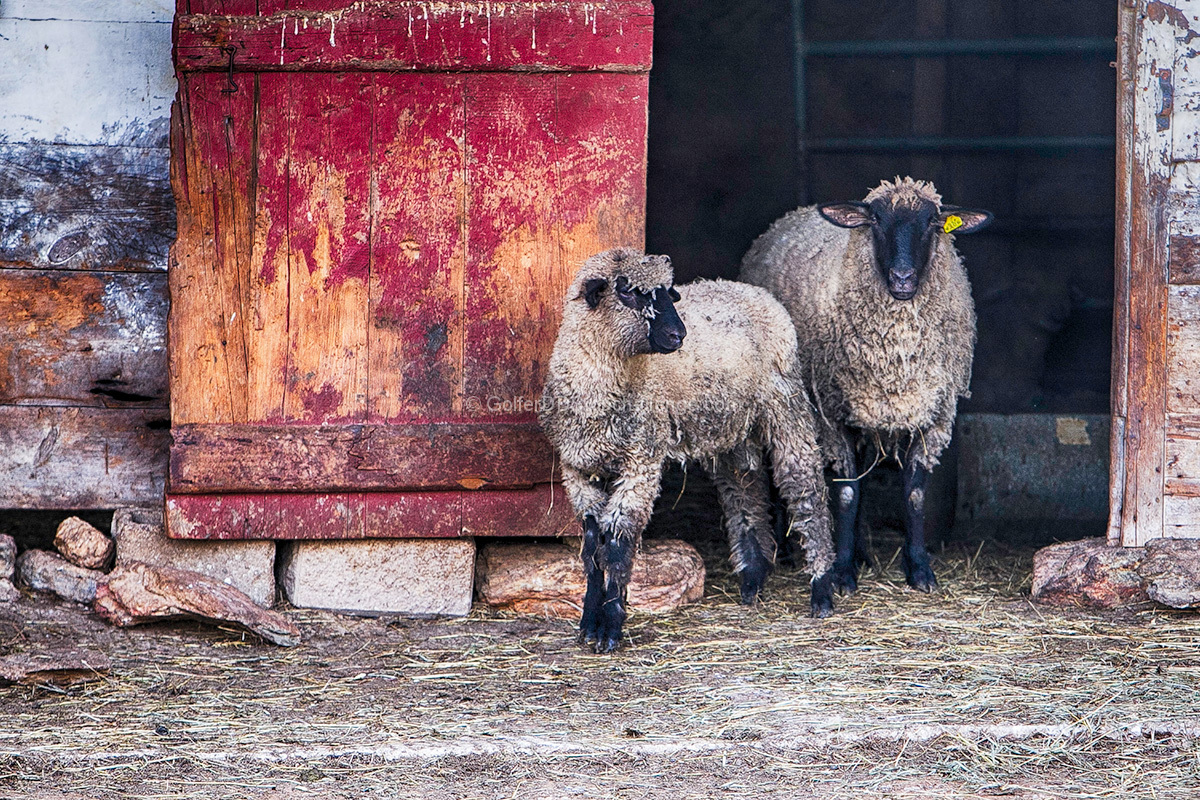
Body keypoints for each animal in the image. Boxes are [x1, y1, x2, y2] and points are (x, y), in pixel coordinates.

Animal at [542, 247, 835, 652]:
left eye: (669, 293)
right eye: (628, 292)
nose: (677, 335)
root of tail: (753, 290)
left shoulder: (640, 462)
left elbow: (617, 546)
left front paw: (610, 629)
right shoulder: (578, 471)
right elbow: (591, 548)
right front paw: (588, 622)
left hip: (785, 402)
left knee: (805, 488)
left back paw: (821, 589)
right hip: (731, 427)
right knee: (744, 489)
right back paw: (753, 578)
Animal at [739, 178, 993, 597]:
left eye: (933, 222)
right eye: (875, 221)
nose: (903, 279)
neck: (898, 352)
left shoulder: (933, 415)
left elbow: (914, 494)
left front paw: (919, 569)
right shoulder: (832, 414)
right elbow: (845, 494)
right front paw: (841, 573)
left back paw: (860, 552)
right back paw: (790, 552)